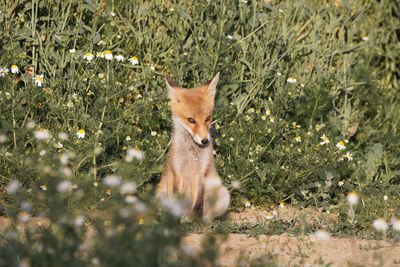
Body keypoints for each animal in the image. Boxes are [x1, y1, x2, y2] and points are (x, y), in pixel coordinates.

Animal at [157, 72, 231, 223]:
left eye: (208, 118)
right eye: (191, 120)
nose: (205, 140)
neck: (191, 153)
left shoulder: (201, 173)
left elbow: (198, 203)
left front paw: (195, 220)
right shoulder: (177, 172)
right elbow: (177, 198)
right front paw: (177, 221)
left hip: (223, 194)